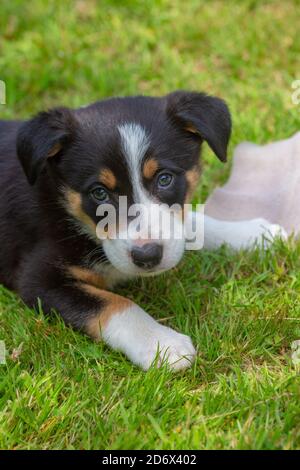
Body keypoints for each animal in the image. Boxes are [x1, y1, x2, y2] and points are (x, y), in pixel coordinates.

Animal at [0, 92, 282, 370]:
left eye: (164, 178)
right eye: (99, 193)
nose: (147, 256)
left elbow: (189, 223)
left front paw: (254, 234)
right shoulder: (39, 281)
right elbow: (117, 304)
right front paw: (162, 344)